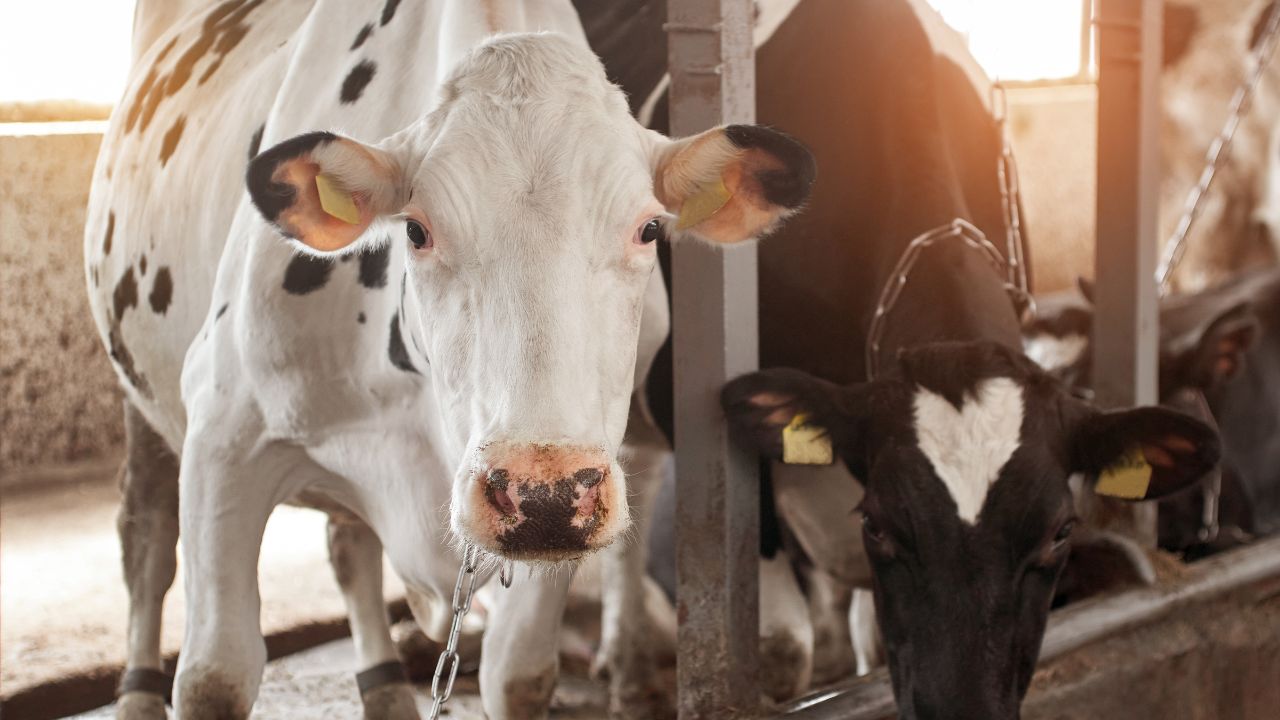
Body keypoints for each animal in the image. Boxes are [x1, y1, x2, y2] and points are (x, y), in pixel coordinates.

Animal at [84, 1, 814, 718]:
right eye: (416, 230)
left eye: (648, 229)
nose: (543, 495)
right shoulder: (223, 433)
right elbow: (214, 675)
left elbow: (518, 676)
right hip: (140, 401)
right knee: (146, 538)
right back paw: (138, 695)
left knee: (348, 545)